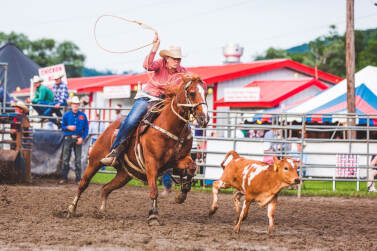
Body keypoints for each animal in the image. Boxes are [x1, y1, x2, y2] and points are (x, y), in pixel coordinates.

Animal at [67, 73, 209, 225]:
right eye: (192, 93)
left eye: (206, 93)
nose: (204, 119)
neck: (171, 126)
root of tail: (110, 127)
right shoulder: (151, 163)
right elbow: (154, 190)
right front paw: (153, 216)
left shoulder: (178, 160)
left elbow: (192, 167)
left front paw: (181, 195)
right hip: (95, 161)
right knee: (83, 183)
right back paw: (71, 209)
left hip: (124, 174)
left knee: (106, 188)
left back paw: (101, 212)